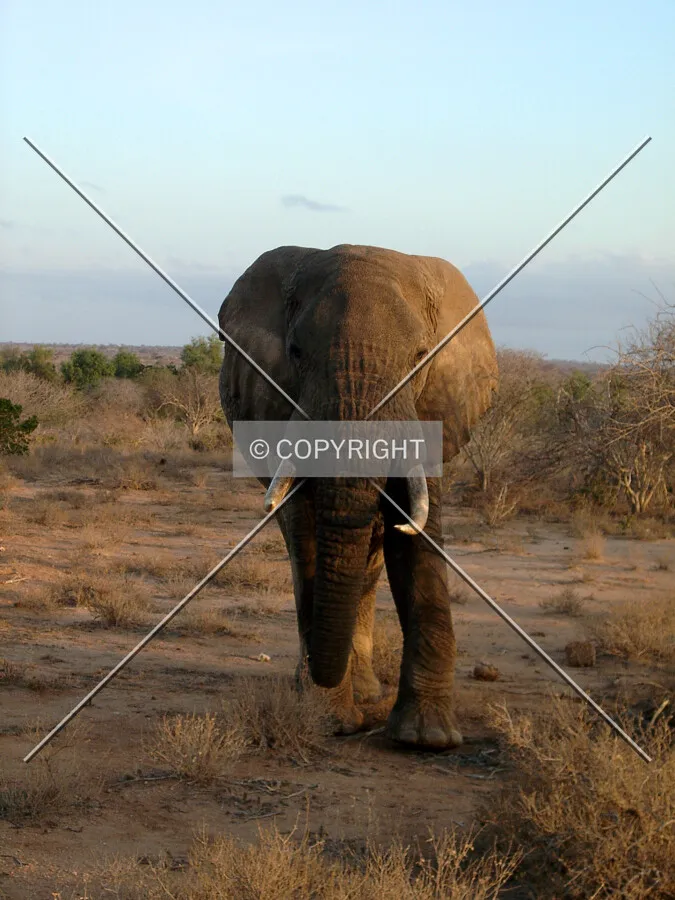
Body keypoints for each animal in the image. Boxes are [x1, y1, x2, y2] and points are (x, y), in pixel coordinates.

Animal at [218, 244, 498, 748]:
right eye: (296, 352)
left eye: (420, 358)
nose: (320, 675)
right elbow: (308, 534)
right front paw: (329, 718)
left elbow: (416, 538)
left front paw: (427, 739)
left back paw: (366, 694)